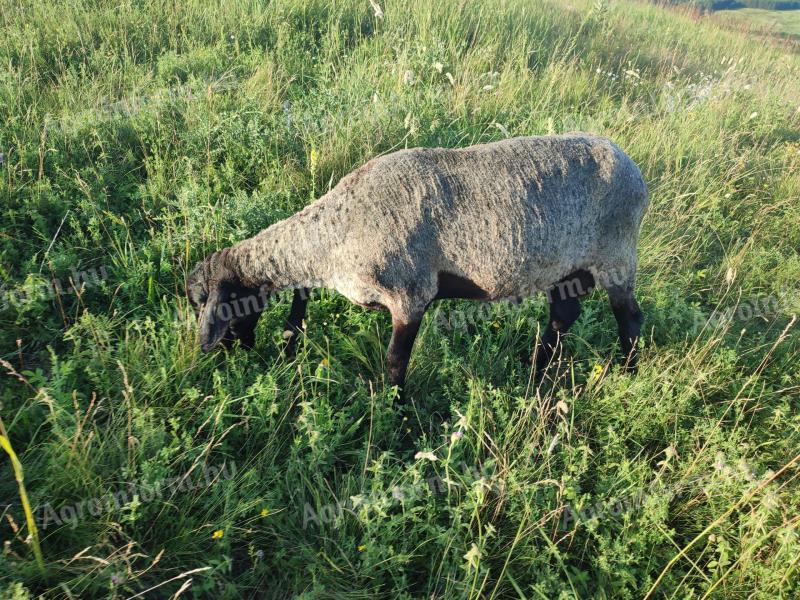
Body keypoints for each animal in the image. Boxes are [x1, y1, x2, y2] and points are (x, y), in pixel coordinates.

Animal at [188, 132, 648, 390]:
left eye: (210, 305)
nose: (224, 355)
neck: (336, 235)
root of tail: (634, 169)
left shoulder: (410, 294)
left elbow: (395, 361)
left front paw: (394, 412)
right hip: (569, 267)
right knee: (563, 314)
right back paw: (536, 370)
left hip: (616, 254)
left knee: (629, 317)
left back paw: (627, 374)